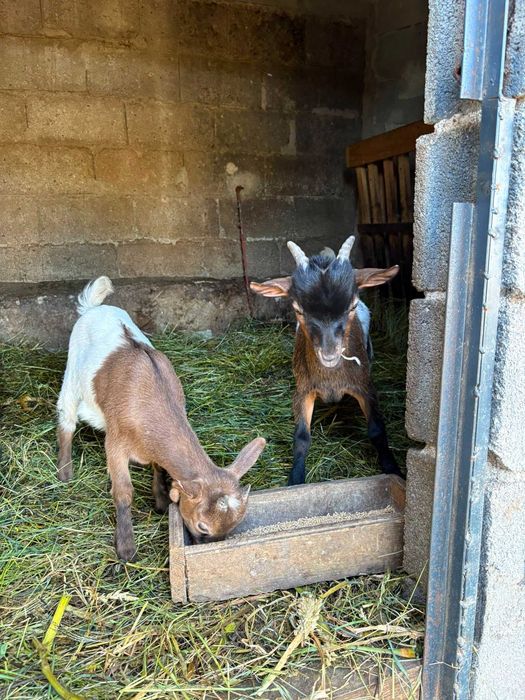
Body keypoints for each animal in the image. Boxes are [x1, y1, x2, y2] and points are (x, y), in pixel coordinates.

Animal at [57, 276, 266, 561]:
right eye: (203, 526)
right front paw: (126, 547)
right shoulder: (115, 442)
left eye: (234, 526)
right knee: (66, 419)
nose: (203, 545)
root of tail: (94, 308)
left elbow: (159, 467)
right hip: (72, 376)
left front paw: (161, 501)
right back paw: (64, 472)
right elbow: (123, 492)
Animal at [251, 236, 401, 485]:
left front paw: (393, 469)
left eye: (352, 305)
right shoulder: (303, 390)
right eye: (298, 309)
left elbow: (377, 429)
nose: (330, 354)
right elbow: (302, 436)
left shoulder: (364, 386)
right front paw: (295, 480)